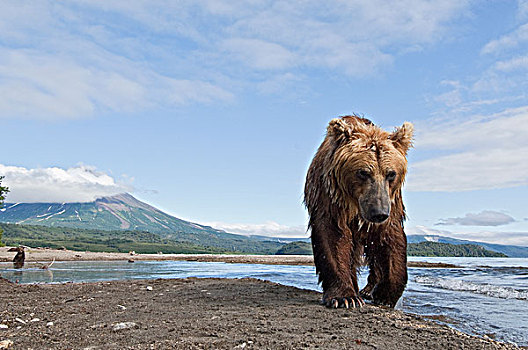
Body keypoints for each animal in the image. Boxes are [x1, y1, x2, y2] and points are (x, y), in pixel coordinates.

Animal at [306, 115, 412, 308]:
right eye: (363, 172)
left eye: (391, 174)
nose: (379, 212)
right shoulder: (330, 197)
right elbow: (333, 236)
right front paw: (344, 297)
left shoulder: (392, 203)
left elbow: (391, 239)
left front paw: (385, 294)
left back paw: (368, 289)